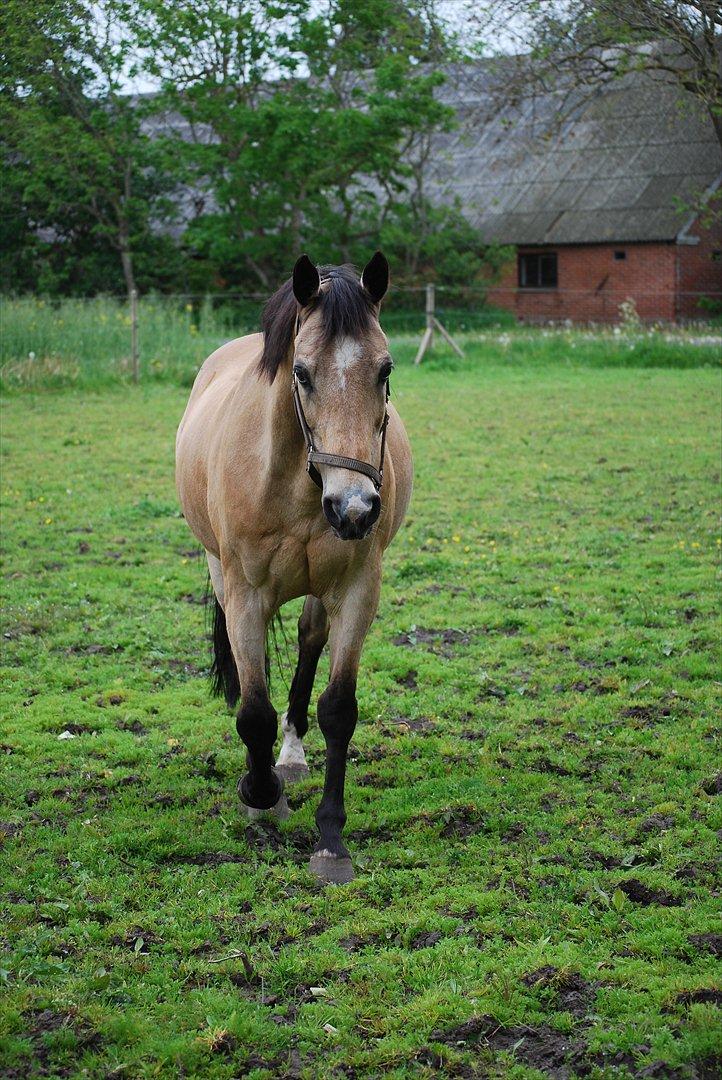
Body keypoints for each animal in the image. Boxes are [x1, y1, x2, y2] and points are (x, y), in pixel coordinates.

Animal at [175, 254, 410, 885]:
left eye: (385, 369)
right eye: (301, 373)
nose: (355, 508)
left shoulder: (357, 589)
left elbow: (339, 709)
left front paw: (330, 841)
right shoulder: (246, 593)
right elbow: (253, 711)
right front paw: (260, 797)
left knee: (308, 640)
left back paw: (293, 756)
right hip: (220, 572)